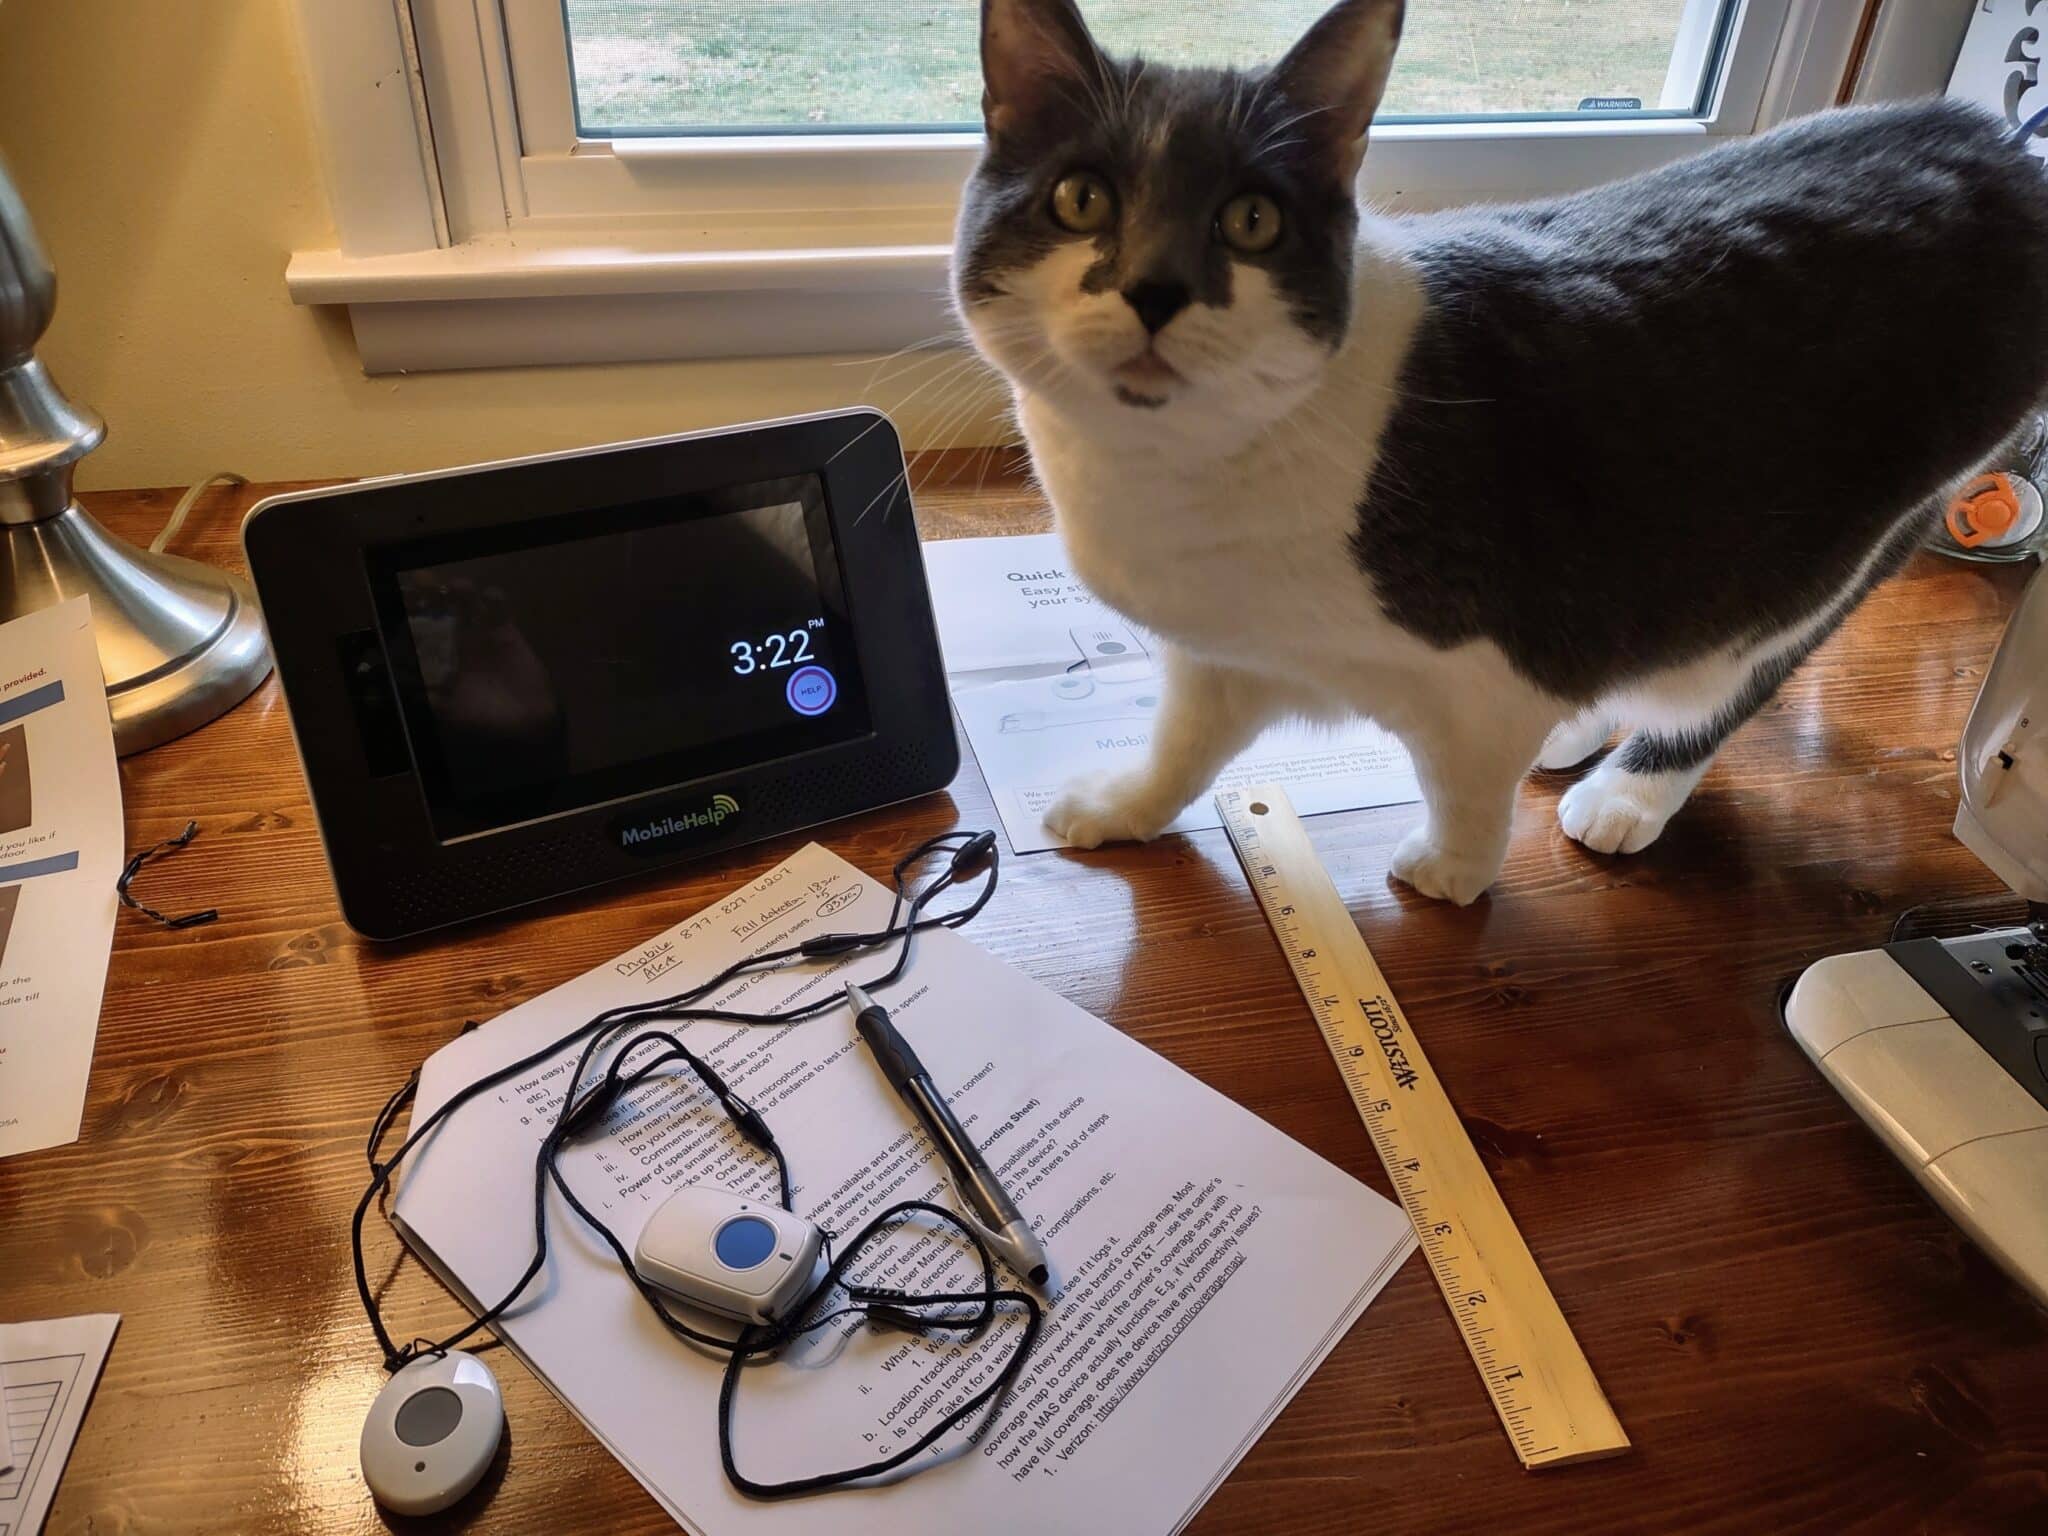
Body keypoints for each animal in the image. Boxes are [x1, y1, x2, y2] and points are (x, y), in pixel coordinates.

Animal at [950, 0, 2048, 901]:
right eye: (1082, 199)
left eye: (1250, 220)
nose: (1154, 287)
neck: (1186, 475)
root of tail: (1997, 143)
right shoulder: (1222, 650)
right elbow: (1183, 738)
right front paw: (1121, 806)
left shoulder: (1496, 662)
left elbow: (1466, 775)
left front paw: (1453, 871)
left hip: (1865, 529)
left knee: (1741, 667)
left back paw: (1625, 793)